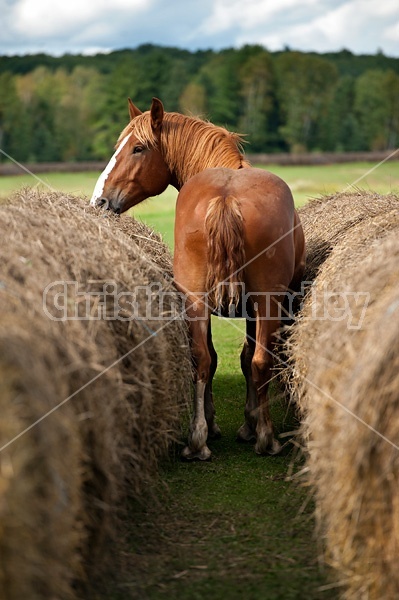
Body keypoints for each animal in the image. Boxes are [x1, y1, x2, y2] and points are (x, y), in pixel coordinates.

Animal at [91, 97, 306, 460]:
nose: (100, 200)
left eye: (137, 148)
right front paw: (247, 424)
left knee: (203, 360)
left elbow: (219, 358)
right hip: (266, 301)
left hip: (198, 299)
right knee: (258, 360)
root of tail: (226, 197)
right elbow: (246, 358)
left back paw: (198, 439)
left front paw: (216, 423)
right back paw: (265, 437)